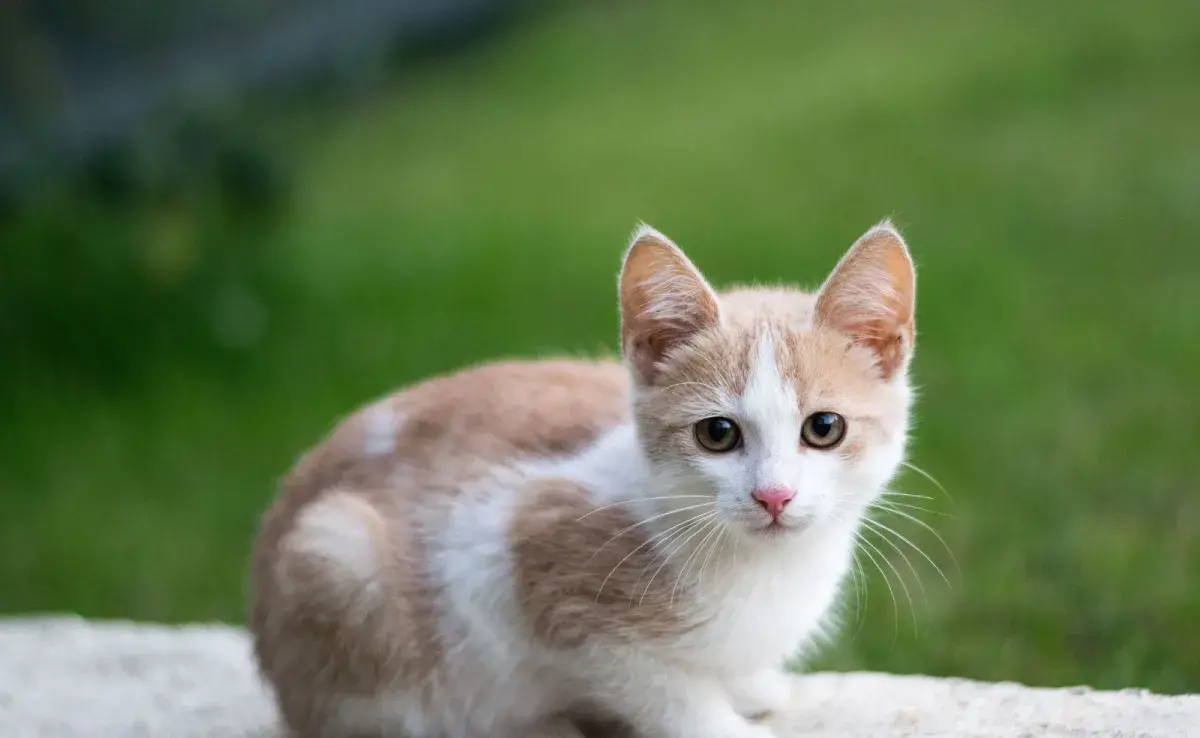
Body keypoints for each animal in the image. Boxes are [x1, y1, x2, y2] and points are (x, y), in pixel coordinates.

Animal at [246, 220, 916, 738]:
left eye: (823, 427)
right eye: (718, 434)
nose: (773, 495)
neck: (766, 570)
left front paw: (752, 687)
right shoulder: (530, 551)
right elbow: (664, 691)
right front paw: (724, 722)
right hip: (334, 552)